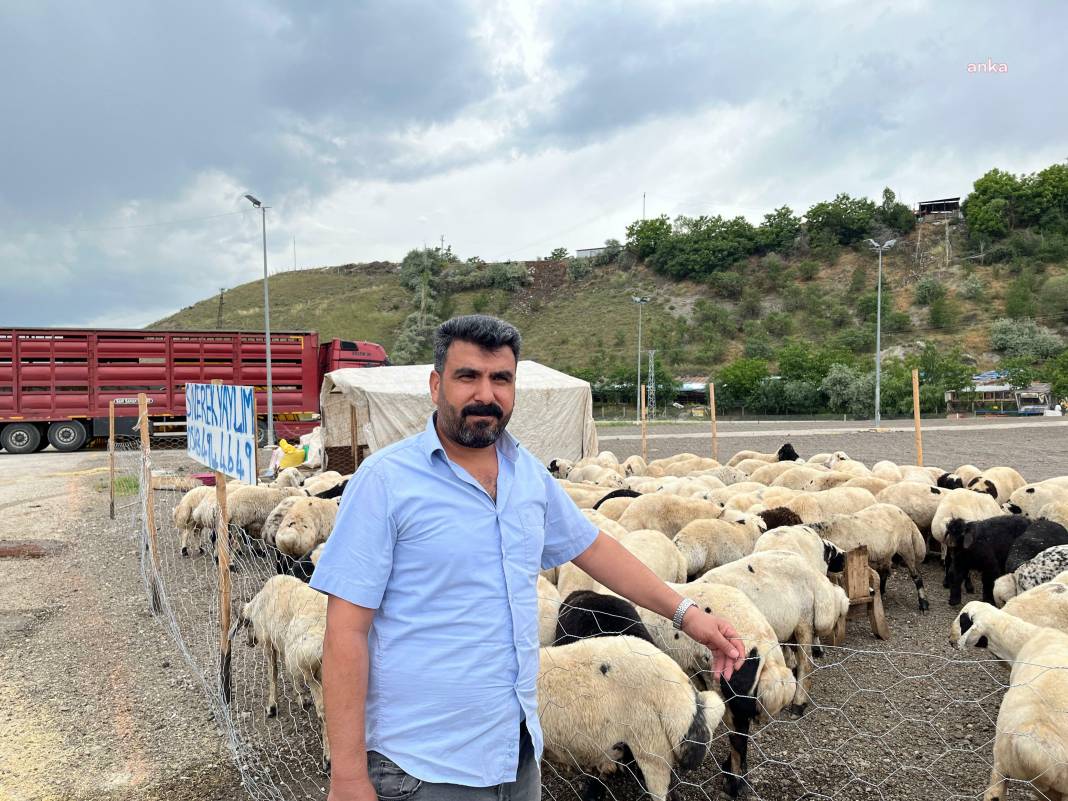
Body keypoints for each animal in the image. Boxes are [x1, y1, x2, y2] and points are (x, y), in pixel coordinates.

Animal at [233, 576, 328, 773]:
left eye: (247, 625)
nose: (249, 643)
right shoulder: (282, 643)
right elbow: (289, 673)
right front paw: (301, 698)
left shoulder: (269, 642)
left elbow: (273, 673)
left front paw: (272, 707)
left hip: (315, 676)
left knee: (324, 712)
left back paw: (328, 760)